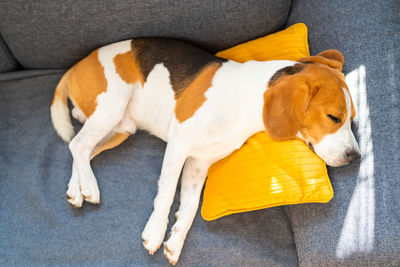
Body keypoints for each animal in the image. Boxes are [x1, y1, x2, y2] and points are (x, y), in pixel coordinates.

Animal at [50, 37, 362, 266]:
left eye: (353, 118)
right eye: (334, 117)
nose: (356, 157)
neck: (244, 101)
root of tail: (77, 64)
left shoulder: (198, 163)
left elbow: (189, 209)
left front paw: (175, 241)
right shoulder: (178, 146)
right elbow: (166, 196)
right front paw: (155, 233)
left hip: (120, 129)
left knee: (82, 150)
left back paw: (78, 189)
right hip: (112, 108)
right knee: (77, 144)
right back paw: (90, 187)